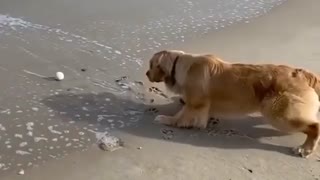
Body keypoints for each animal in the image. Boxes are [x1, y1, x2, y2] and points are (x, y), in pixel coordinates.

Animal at [146, 49, 320, 158]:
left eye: (150, 64)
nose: (146, 73)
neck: (181, 66)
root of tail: (301, 73)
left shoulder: (195, 104)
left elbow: (181, 116)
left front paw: (165, 119)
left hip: (276, 111)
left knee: (314, 125)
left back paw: (305, 148)